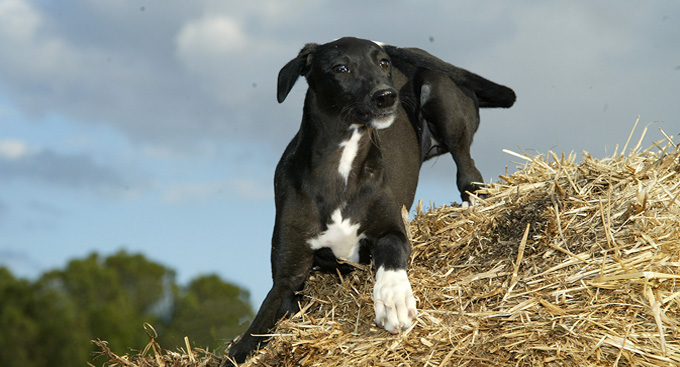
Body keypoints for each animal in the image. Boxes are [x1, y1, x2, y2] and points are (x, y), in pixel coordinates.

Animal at [226, 37, 512, 366]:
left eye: (383, 63)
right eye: (341, 68)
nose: (387, 97)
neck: (340, 165)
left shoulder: (391, 229)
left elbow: (390, 254)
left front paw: (394, 300)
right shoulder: (288, 277)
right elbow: (253, 334)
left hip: (440, 95)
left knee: (469, 172)